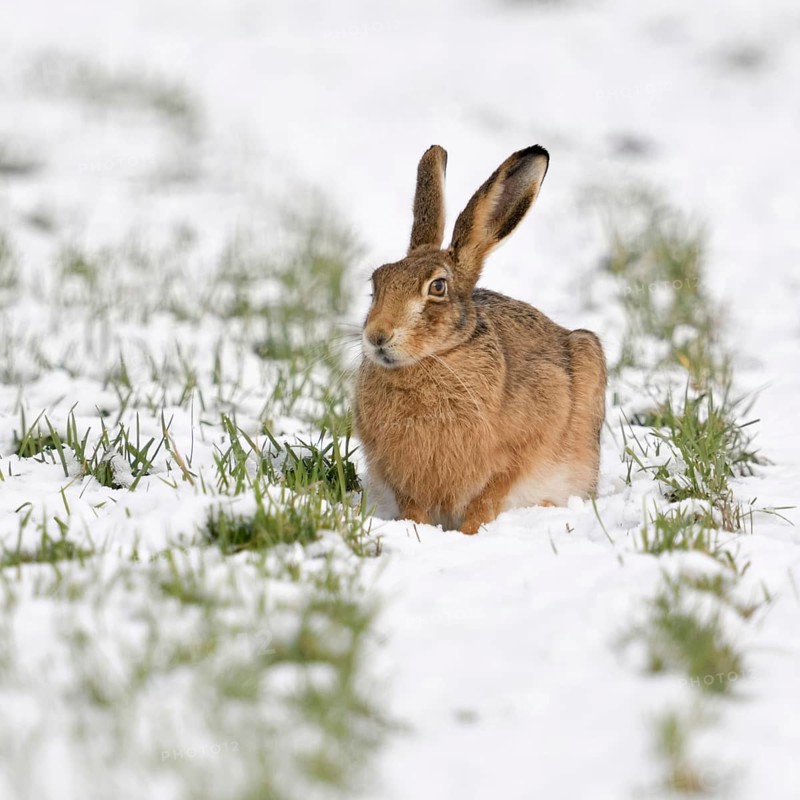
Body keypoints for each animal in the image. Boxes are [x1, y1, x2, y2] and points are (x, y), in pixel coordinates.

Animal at [354, 145, 606, 534]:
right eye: (377, 282)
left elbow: (492, 491)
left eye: (437, 287)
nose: (377, 336)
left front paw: (470, 532)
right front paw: (417, 529)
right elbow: (411, 501)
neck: (437, 358)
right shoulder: (393, 468)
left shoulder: (521, 448)